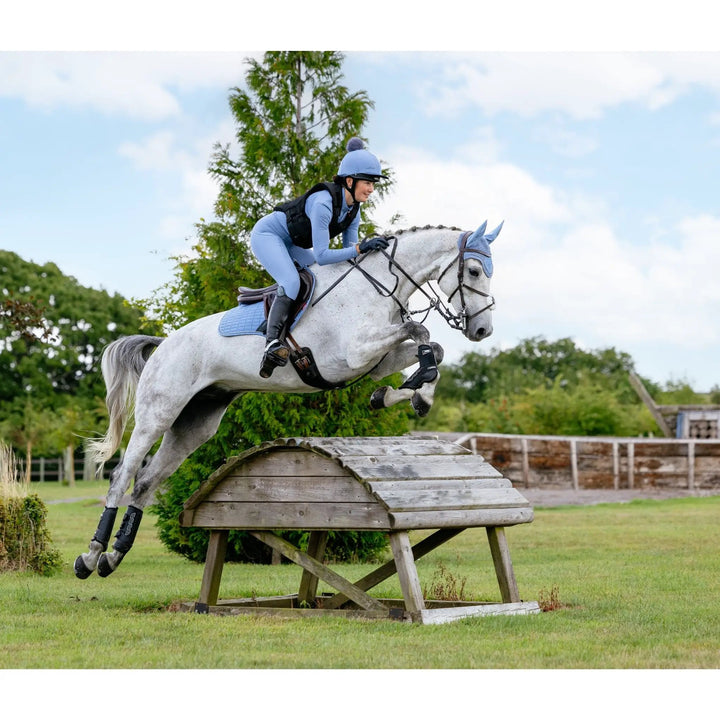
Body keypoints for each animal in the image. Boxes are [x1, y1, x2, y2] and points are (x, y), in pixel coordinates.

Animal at [74, 221, 503, 579]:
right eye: (474, 271)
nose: (482, 329)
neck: (377, 286)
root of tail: (164, 343)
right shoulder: (353, 354)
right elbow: (421, 330)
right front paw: (413, 387)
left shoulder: (375, 360)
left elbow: (431, 348)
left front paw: (406, 395)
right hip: (159, 412)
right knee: (122, 475)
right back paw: (90, 557)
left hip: (195, 424)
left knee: (146, 483)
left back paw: (114, 556)